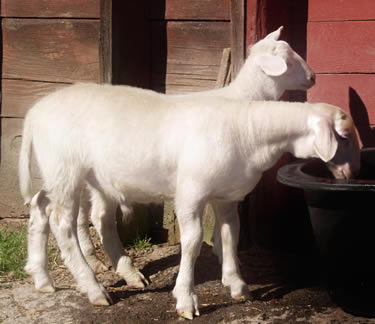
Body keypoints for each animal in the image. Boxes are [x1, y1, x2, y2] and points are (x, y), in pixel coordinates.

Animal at [18, 83, 362, 318]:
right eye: (344, 137)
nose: (354, 172)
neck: (249, 130)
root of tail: (35, 112)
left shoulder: (226, 196)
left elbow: (230, 236)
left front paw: (238, 287)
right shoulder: (190, 192)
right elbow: (194, 241)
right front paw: (186, 299)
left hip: (61, 174)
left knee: (40, 207)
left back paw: (41, 277)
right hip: (65, 169)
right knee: (62, 224)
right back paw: (93, 289)